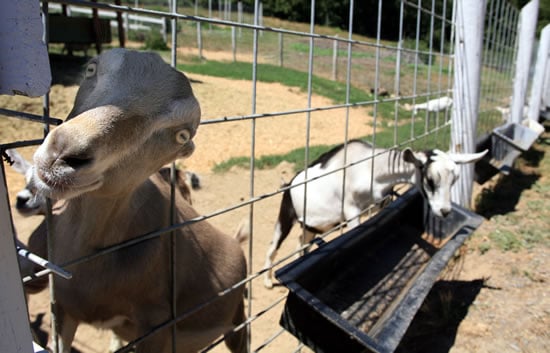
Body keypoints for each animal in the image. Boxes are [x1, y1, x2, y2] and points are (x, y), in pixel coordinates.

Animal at [266, 139, 490, 288]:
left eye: (454, 180)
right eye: (430, 180)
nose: (444, 211)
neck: (371, 167)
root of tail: (290, 184)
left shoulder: (382, 204)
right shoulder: (351, 211)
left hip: (311, 226)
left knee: (300, 243)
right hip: (286, 216)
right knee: (273, 247)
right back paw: (268, 281)